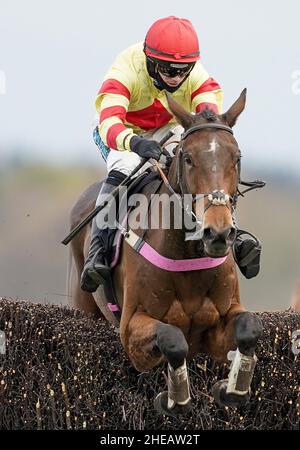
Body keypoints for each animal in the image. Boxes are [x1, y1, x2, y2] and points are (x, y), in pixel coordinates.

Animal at [67, 89, 262, 416]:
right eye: (188, 158)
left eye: (236, 158)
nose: (218, 233)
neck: (187, 255)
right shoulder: (131, 330)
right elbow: (173, 340)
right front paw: (175, 399)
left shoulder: (221, 321)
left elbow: (250, 327)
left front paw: (232, 389)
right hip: (85, 309)